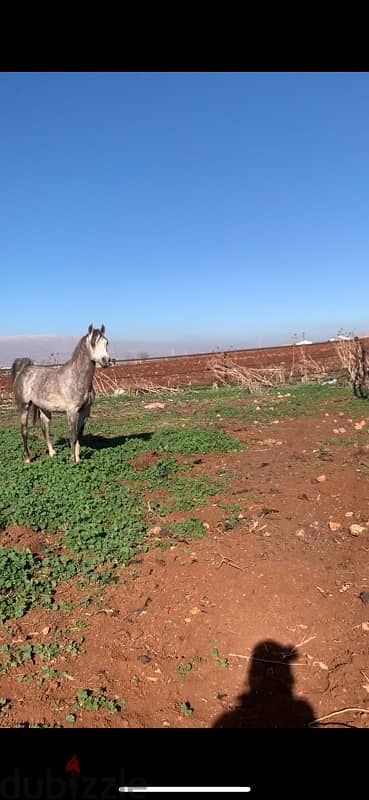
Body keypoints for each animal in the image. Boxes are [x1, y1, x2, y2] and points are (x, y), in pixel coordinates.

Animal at [10, 324, 109, 462]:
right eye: (93, 343)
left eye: (106, 342)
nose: (106, 360)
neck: (76, 377)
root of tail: (24, 370)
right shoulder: (72, 411)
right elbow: (72, 436)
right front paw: (73, 460)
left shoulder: (85, 411)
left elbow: (79, 435)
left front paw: (78, 458)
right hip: (24, 406)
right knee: (24, 430)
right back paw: (28, 458)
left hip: (44, 409)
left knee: (45, 429)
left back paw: (52, 453)